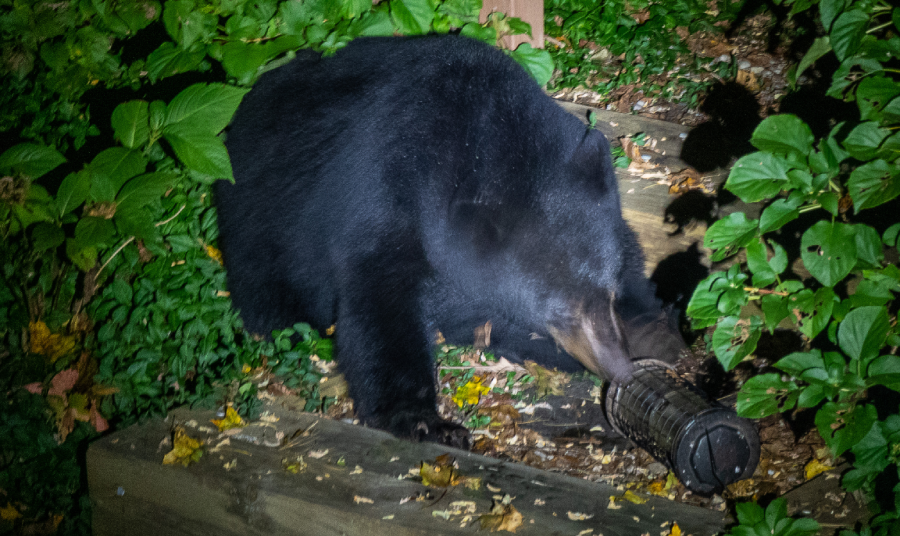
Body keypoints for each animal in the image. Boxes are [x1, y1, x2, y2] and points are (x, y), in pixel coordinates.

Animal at [218, 35, 684, 448]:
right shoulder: (384, 192)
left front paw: (655, 331)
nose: (617, 367)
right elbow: (380, 303)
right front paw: (423, 420)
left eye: (608, 294)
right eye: (560, 311)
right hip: (260, 231)